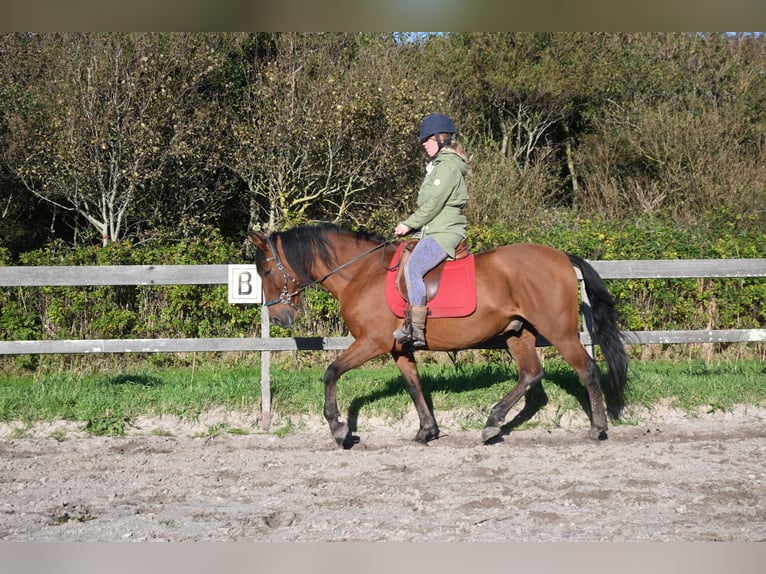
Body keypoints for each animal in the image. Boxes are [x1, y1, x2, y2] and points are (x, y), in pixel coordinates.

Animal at [249, 223, 628, 448]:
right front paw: (426, 430)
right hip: (519, 333)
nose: (279, 317)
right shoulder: (397, 348)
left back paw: (597, 428)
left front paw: (339, 429)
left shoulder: (371, 342)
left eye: (266, 270)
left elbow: (331, 372)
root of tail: (561, 257)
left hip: (559, 332)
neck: (361, 273)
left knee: (587, 369)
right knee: (531, 373)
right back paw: (492, 424)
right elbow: (414, 385)